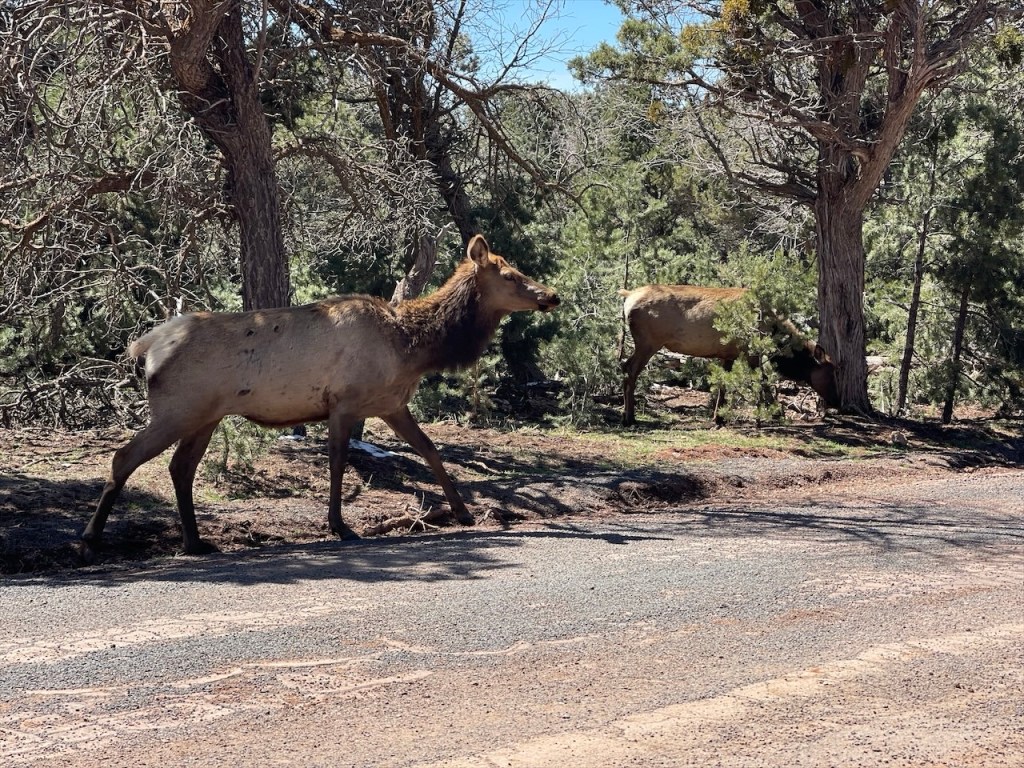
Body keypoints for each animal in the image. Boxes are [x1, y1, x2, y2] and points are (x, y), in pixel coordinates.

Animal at [81, 235, 560, 561]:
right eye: (510, 275)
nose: (551, 295)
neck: (413, 348)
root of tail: (144, 347)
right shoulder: (344, 402)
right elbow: (338, 462)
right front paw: (339, 526)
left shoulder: (390, 404)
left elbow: (429, 450)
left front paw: (462, 512)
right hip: (178, 409)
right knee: (125, 457)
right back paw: (91, 538)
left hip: (205, 416)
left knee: (181, 468)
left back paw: (196, 542)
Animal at [619, 284, 838, 426]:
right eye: (831, 374)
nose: (837, 400)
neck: (773, 331)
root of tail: (628, 296)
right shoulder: (750, 352)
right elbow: (764, 382)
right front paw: (775, 413)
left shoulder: (728, 354)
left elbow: (723, 385)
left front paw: (719, 417)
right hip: (649, 342)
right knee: (630, 370)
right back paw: (629, 418)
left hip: (644, 343)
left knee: (624, 366)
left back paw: (626, 414)